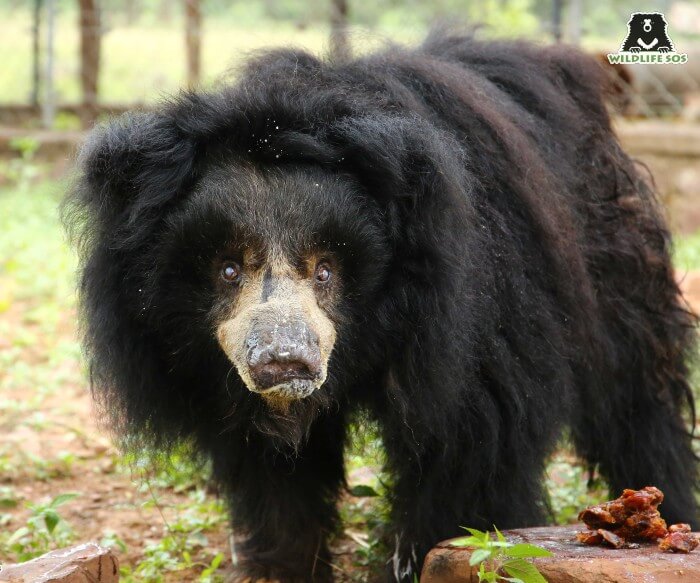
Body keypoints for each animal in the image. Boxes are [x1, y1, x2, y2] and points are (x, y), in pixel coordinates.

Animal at [63, 32, 696, 583]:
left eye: (325, 268)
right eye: (228, 268)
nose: (284, 362)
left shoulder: (472, 320)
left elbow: (472, 441)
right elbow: (269, 473)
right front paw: (282, 566)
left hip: (614, 264)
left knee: (635, 396)